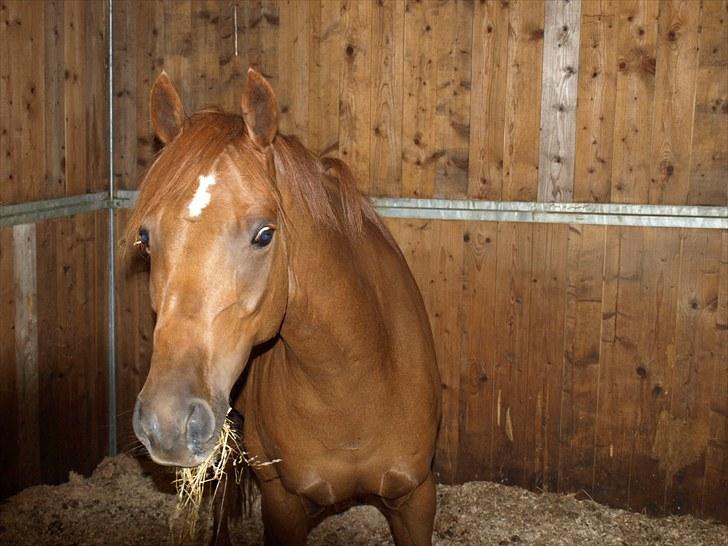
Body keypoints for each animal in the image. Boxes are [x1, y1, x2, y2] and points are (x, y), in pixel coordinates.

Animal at [127, 68, 441, 546]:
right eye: (145, 238)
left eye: (264, 234)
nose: (168, 421)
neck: (352, 386)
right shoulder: (284, 503)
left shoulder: (415, 499)